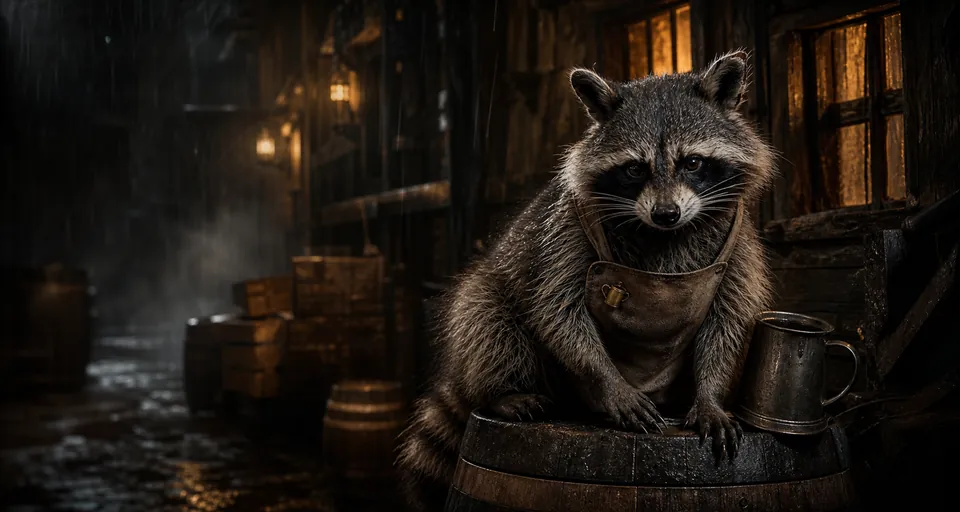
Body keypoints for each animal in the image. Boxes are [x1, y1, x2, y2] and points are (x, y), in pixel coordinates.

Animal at [397, 51, 776, 511]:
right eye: (634, 169)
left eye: (693, 162)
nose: (666, 214)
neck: (664, 234)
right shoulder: (565, 230)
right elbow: (557, 309)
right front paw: (606, 380)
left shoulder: (739, 245)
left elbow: (730, 321)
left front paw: (711, 395)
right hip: (495, 290)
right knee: (486, 317)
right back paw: (501, 391)